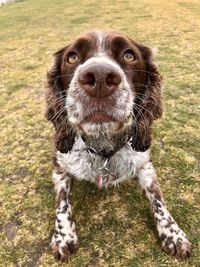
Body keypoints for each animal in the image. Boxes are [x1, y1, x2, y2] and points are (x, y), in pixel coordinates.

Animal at [45, 30, 191, 262]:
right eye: (72, 57)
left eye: (129, 55)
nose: (99, 77)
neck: (103, 147)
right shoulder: (60, 166)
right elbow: (62, 203)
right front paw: (63, 237)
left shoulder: (145, 164)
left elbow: (158, 199)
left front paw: (173, 233)